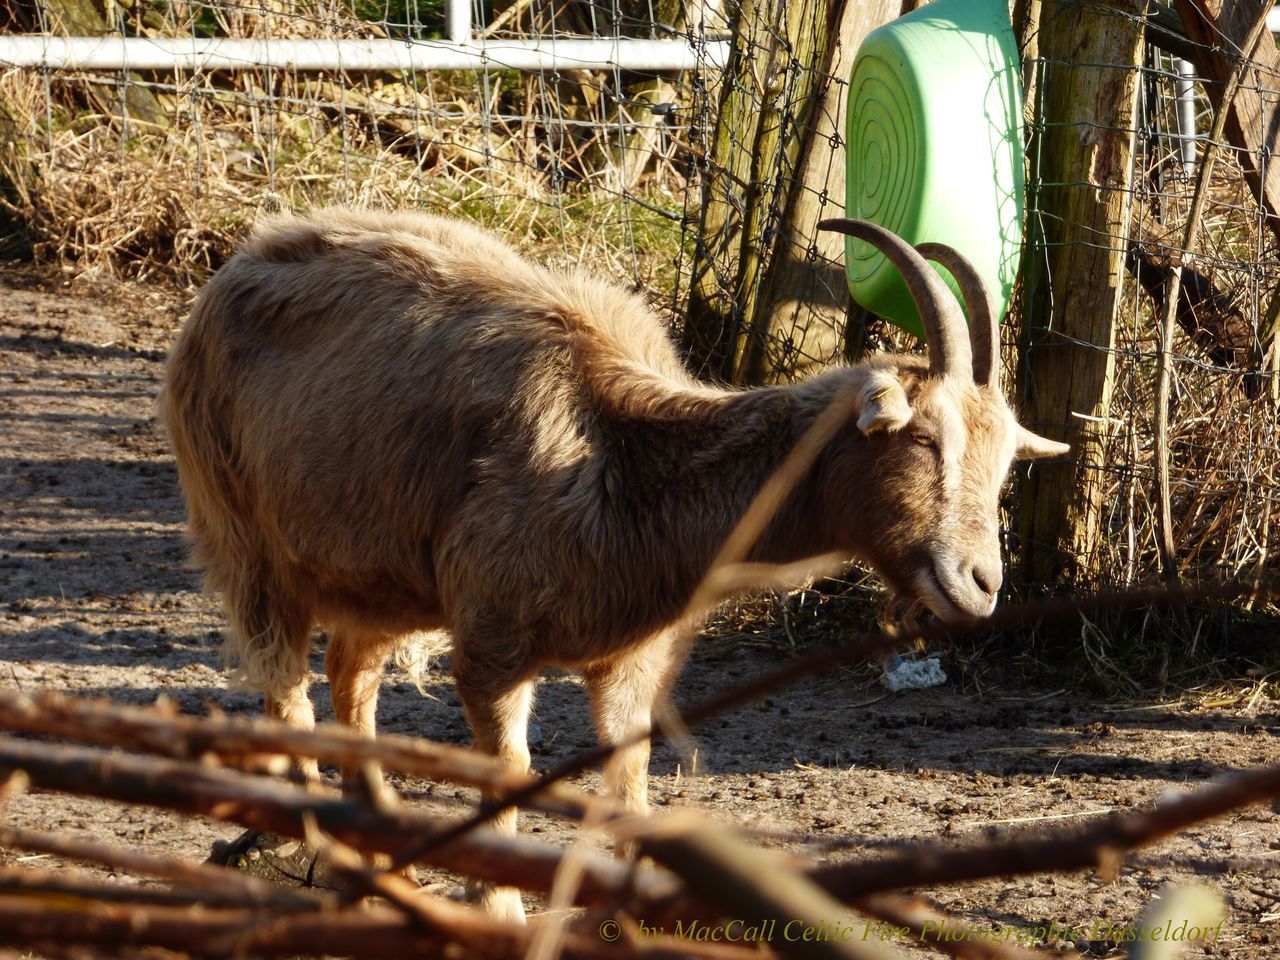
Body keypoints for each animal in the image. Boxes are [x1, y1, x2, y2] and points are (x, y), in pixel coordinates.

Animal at [157, 207, 1059, 921]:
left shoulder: (629, 665)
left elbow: (630, 790)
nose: (981, 584)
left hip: (383, 576)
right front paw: (503, 912)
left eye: (1005, 461)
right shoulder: (492, 647)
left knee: (353, 670)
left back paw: (383, 850)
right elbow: (510, 776)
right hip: (246, 536)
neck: (624, 455)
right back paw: (315, 842)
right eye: (926, 438)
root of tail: (238, 262)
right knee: (288, 688)